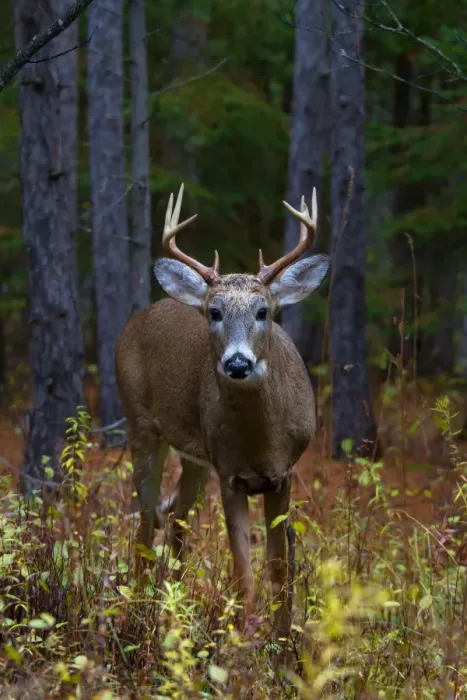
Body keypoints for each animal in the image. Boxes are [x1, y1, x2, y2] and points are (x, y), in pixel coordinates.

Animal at [115, 184, 329, 638]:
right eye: (214, 312)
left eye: (263, 311)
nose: (238, 363)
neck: (262, 443)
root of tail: (140, 316)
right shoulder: (230, 475)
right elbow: (243, 570)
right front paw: (245, 638)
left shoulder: (283, 474)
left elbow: (279, 568)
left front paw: (282, 640)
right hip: (140, 424)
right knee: (144, 521)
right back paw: (139, 615)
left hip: (195, 455)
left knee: (174, 516)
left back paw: (175, 607)